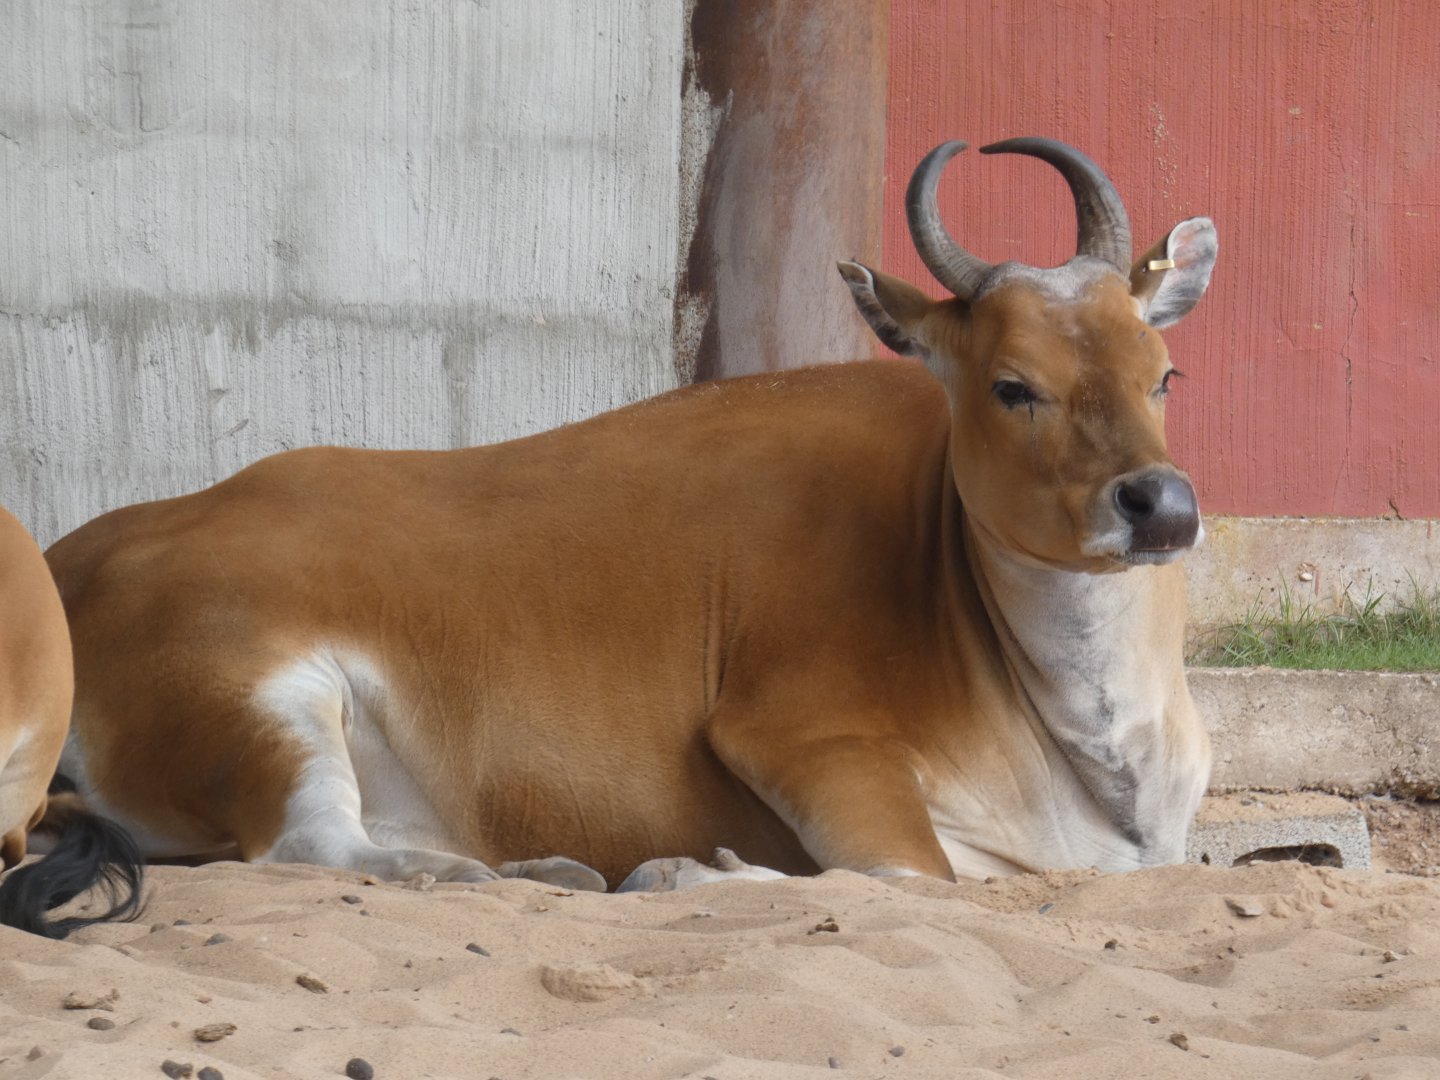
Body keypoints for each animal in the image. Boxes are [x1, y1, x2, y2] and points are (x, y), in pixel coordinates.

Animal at [44, 138, 1216, 894]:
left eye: (1162, 373)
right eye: (1014, 387)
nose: (1160, 505)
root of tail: (66, 562)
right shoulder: (806, 741)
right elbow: (902, 880)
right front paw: (695, 870)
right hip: (265, 698)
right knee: (306, 847)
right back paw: (468, 873)